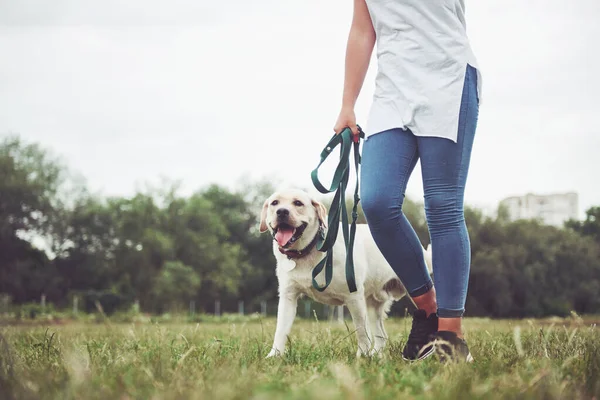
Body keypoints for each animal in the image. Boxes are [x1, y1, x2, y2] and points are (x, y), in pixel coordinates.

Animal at [260, 189, 434, 358]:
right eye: (275, 203)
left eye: (298, 203)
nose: (282, 211)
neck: (309, 250)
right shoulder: (288, 296)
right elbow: (280, 330)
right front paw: (274, 355)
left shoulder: (354, 297)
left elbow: (361, 331)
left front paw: (362, 356)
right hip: (373, 305)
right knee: (381, 336)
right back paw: (376, 356)